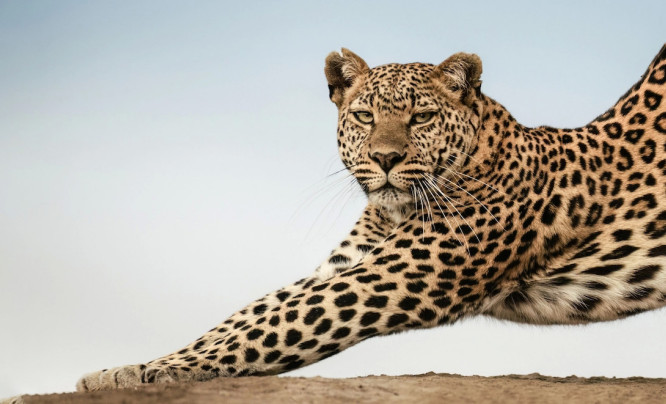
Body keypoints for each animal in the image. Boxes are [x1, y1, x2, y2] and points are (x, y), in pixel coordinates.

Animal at [75, 45, 664, 392]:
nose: (384, 158)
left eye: (421, 116)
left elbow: (274, 323)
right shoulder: (344, 265)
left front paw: (150, 371)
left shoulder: (395, 275)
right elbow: (249, 316)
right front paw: (126, 368)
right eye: (363, 115)